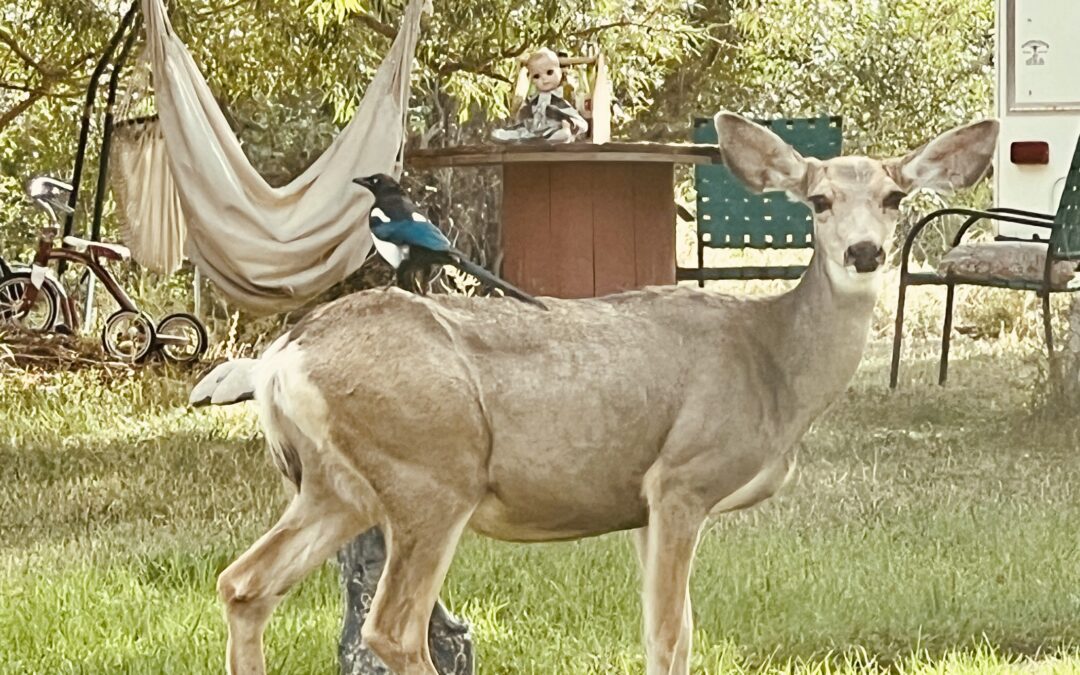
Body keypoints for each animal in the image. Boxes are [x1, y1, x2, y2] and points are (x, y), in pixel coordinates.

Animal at [190, 113, 997, 673]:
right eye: (820, 200)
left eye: (894, 196)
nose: (865, 252)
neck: (770, 363)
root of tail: (280, 356)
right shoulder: (681, 478)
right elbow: (669, 636)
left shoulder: (642, 504)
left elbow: (672, 630)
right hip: (431, 469)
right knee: (390, 627)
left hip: (334, 487)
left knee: (243, 583)